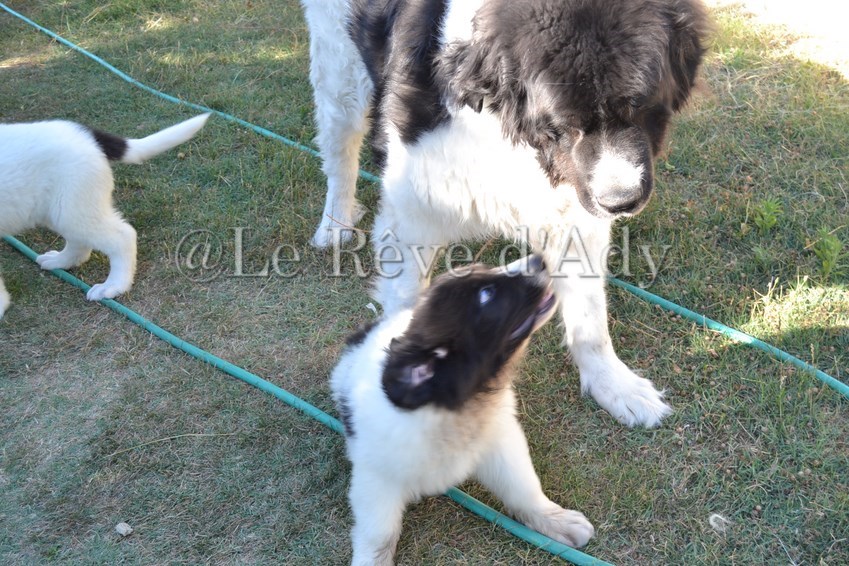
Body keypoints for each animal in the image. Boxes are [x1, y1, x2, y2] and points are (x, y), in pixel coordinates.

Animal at [0, 113, 209, 318]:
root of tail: (89, 136)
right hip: (62, 208)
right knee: (81, 243)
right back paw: (60, 261)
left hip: (71, 207)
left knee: (122, 236)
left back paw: (114, 286)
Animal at [301, 0, 709, 428]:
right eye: (566, 125)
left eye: (641, 105)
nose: (622, 200)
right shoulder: (413, 213)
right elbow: (407, 303)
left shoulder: (575, 211)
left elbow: (590, 317)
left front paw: (615, 386)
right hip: (338, 72)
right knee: (339, 153)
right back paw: (334, 225)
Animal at [331, 254, 594, 565]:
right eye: (486, 295)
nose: (540, 258)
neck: (449, 413)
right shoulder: (377, 479)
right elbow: (378, 534)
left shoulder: (500, 444)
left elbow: (523, 488)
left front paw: (555, 520)